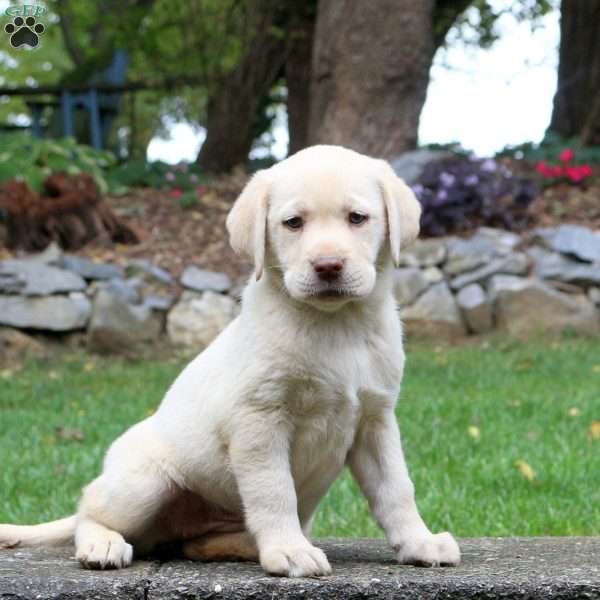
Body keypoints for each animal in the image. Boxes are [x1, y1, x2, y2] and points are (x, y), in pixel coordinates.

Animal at [0, 145, 460, 576]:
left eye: (357, 218)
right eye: (294, 223)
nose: (328, 265)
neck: (336, 327)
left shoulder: (375, 420)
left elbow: (396, 488)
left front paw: (419, 542)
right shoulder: (259, 421)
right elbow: (274, 491)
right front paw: (289, 551)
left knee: (196, 543)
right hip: (143, 481)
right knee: (89, 510)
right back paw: (102, 543)